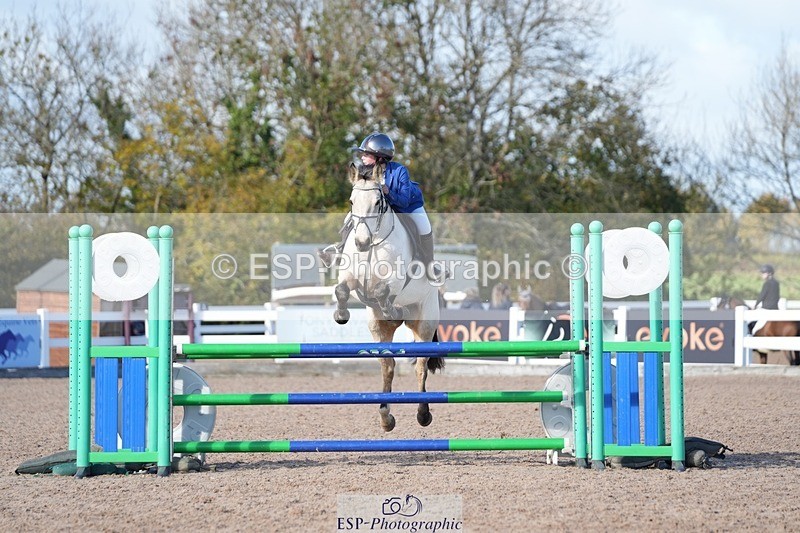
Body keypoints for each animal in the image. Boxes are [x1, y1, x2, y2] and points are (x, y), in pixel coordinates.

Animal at [332, 162, 444, 432]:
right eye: (351, 201)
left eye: (377, 202)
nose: (361, 243)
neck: (373, 243)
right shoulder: (349, 277)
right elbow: (342, 290)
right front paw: (341, 314)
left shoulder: (395, 280)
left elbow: (383, 290)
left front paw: (391, 307)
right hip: (378, 328)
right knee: (387, 366)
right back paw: (386, 417)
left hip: (424, 323)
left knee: (421, 367)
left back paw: (423, 414)